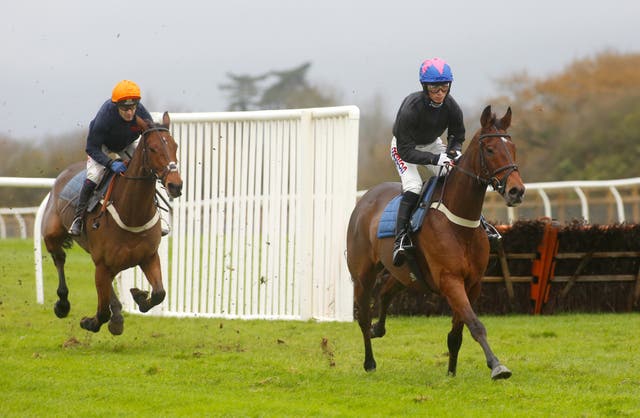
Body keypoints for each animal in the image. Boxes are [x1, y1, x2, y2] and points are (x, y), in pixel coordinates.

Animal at [41, 112, 182, 334]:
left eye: (175, 145)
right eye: (152, 148)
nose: (175, 185)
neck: (132, 213)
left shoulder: (149, 257)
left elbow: (159, 293)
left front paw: (139, 296)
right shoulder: (103, 263)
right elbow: (102, 312)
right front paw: (89, 322)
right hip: (52, 234)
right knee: (59, 258)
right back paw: (63, 304)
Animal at [350, 104, 524, 378]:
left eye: (513, 147)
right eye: (490, 149)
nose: (516, 191)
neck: (460, 224)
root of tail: (366, 198)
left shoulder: (472, 283)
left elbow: (457, 333)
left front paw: (451, 372)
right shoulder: (450, 280)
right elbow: (475, 324)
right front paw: (497, 365)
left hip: (406, 273)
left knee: (386, 291)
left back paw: (380, 328)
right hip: (362, 274)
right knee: (364, 316)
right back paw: (369, 361)